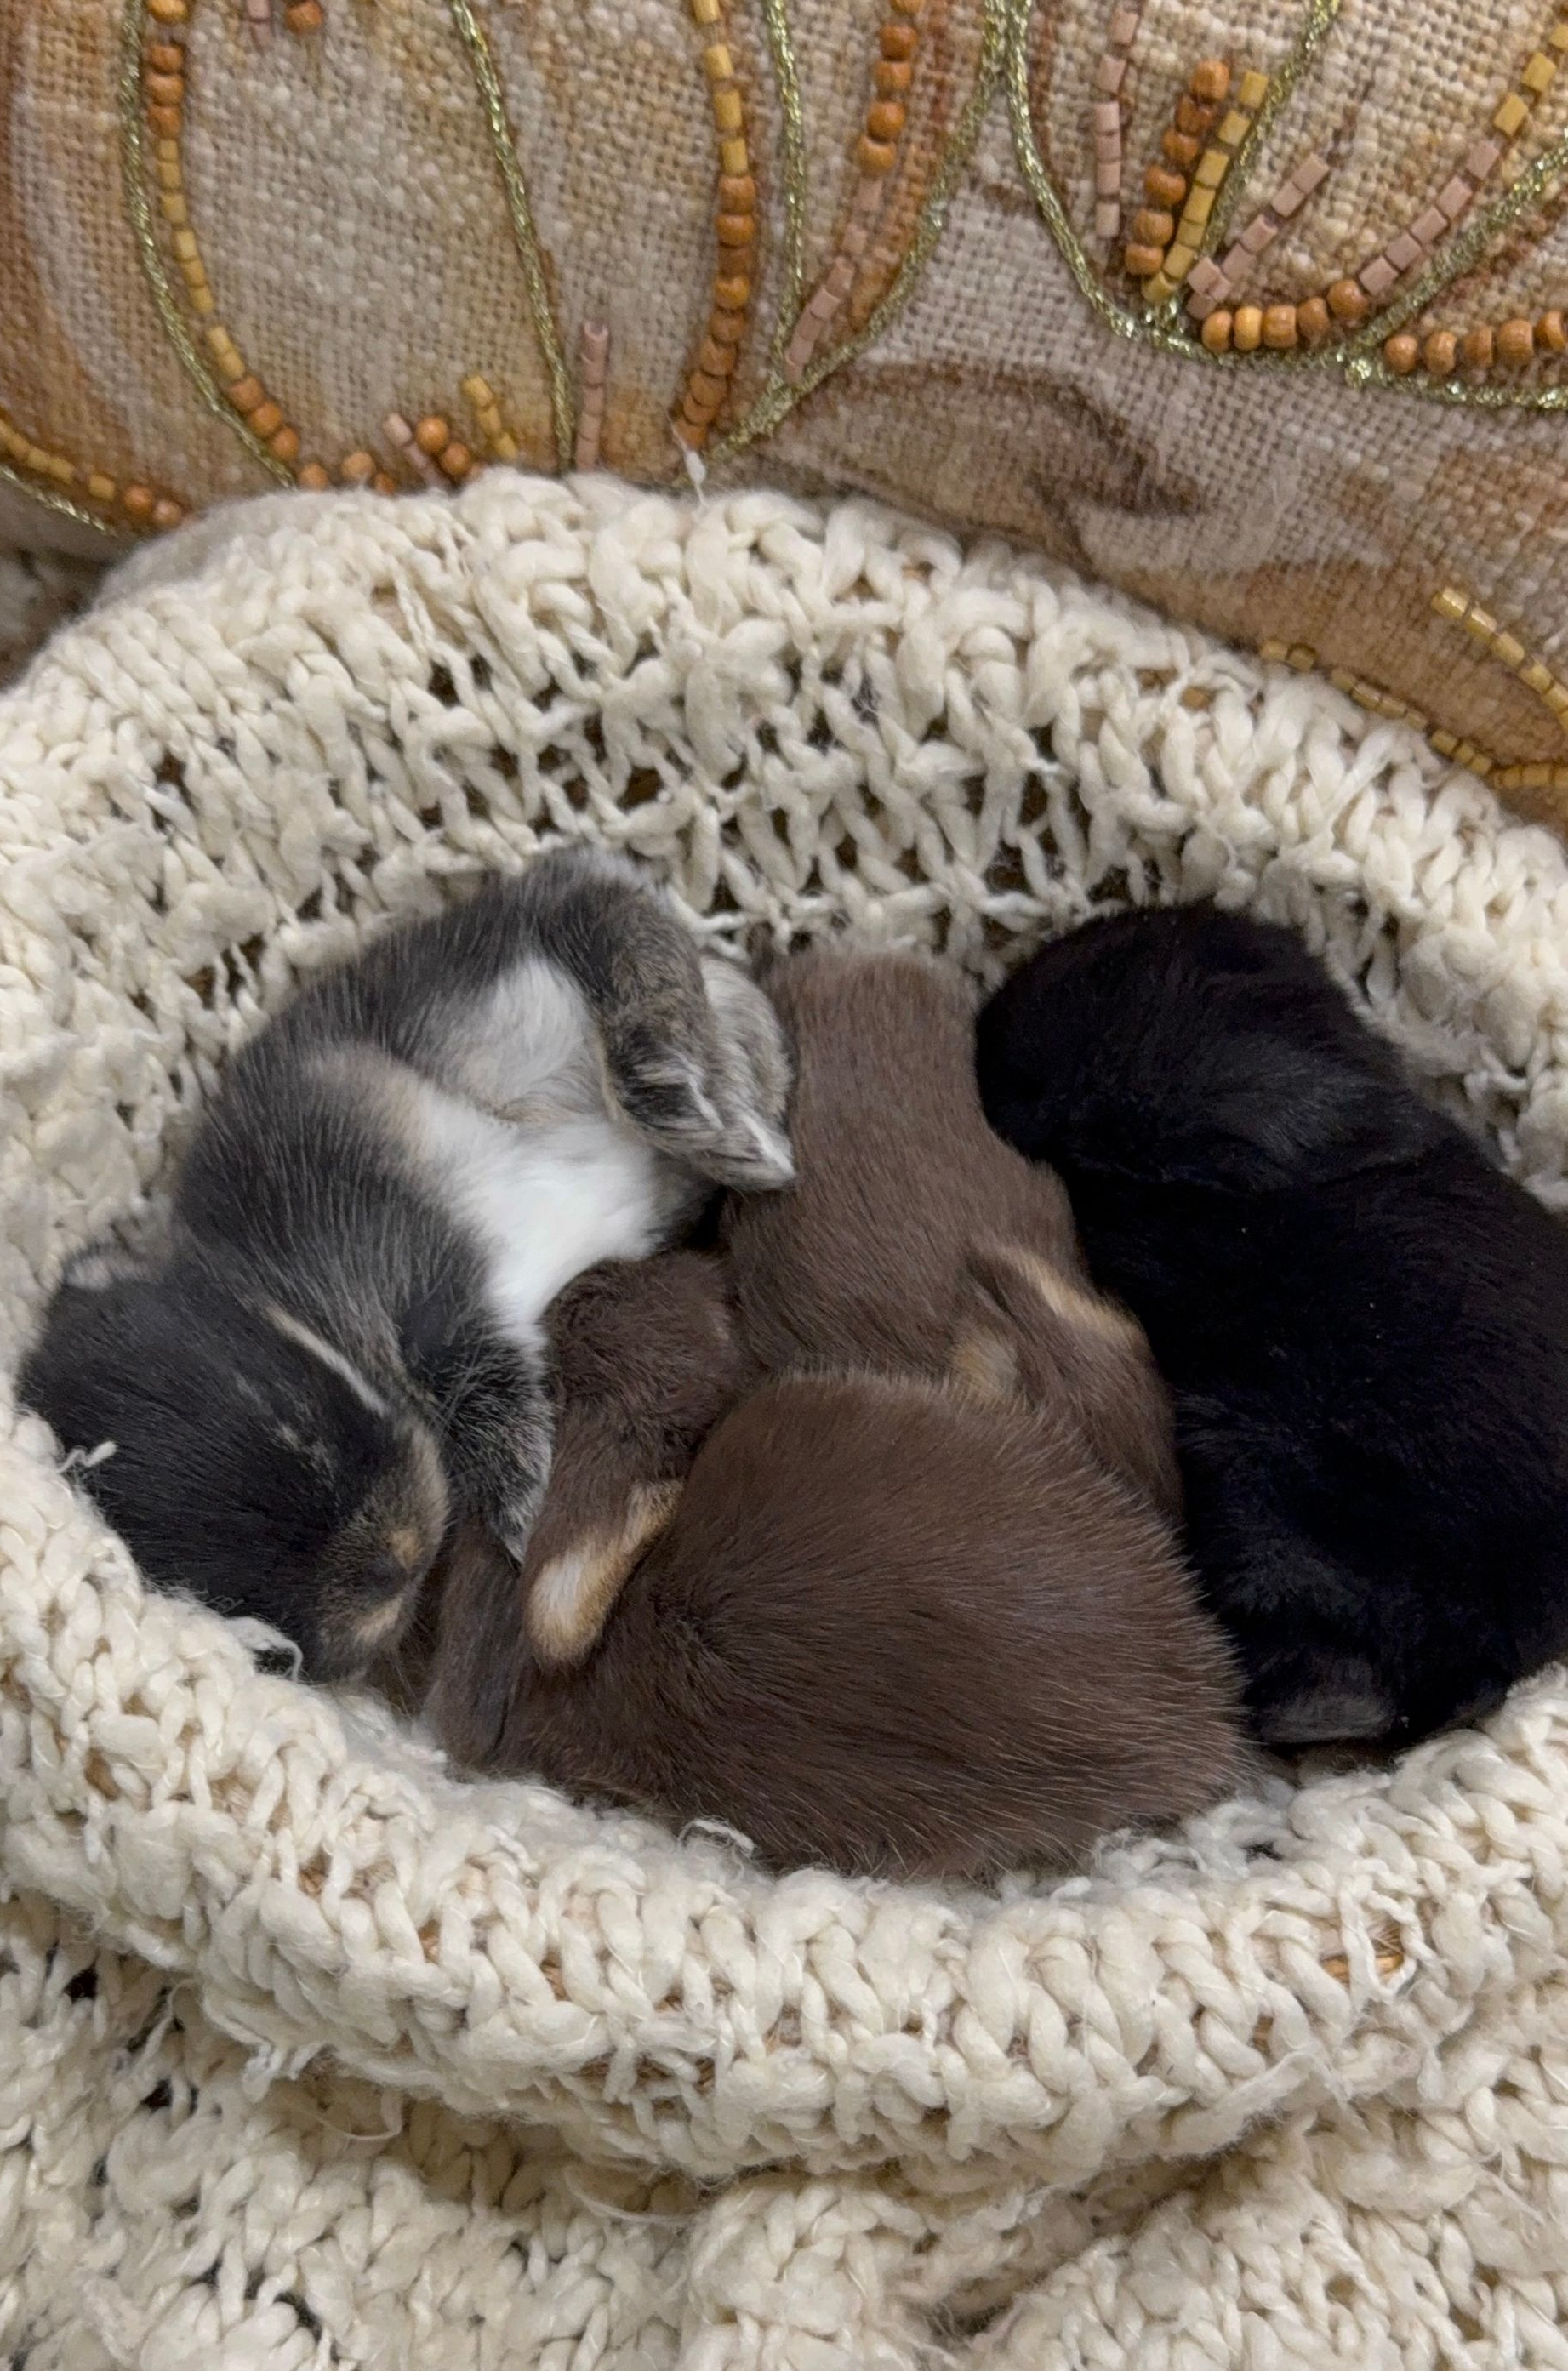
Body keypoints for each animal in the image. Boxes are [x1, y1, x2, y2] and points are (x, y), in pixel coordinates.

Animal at [19, 848, 791, 1683]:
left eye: (295, 1411)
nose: (394, 1564)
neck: (282, 1289)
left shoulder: (405, 1262)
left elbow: (456, 1362)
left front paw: (523, 1513)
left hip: (488, 1014)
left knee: (598, 911)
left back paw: (712, 1119)